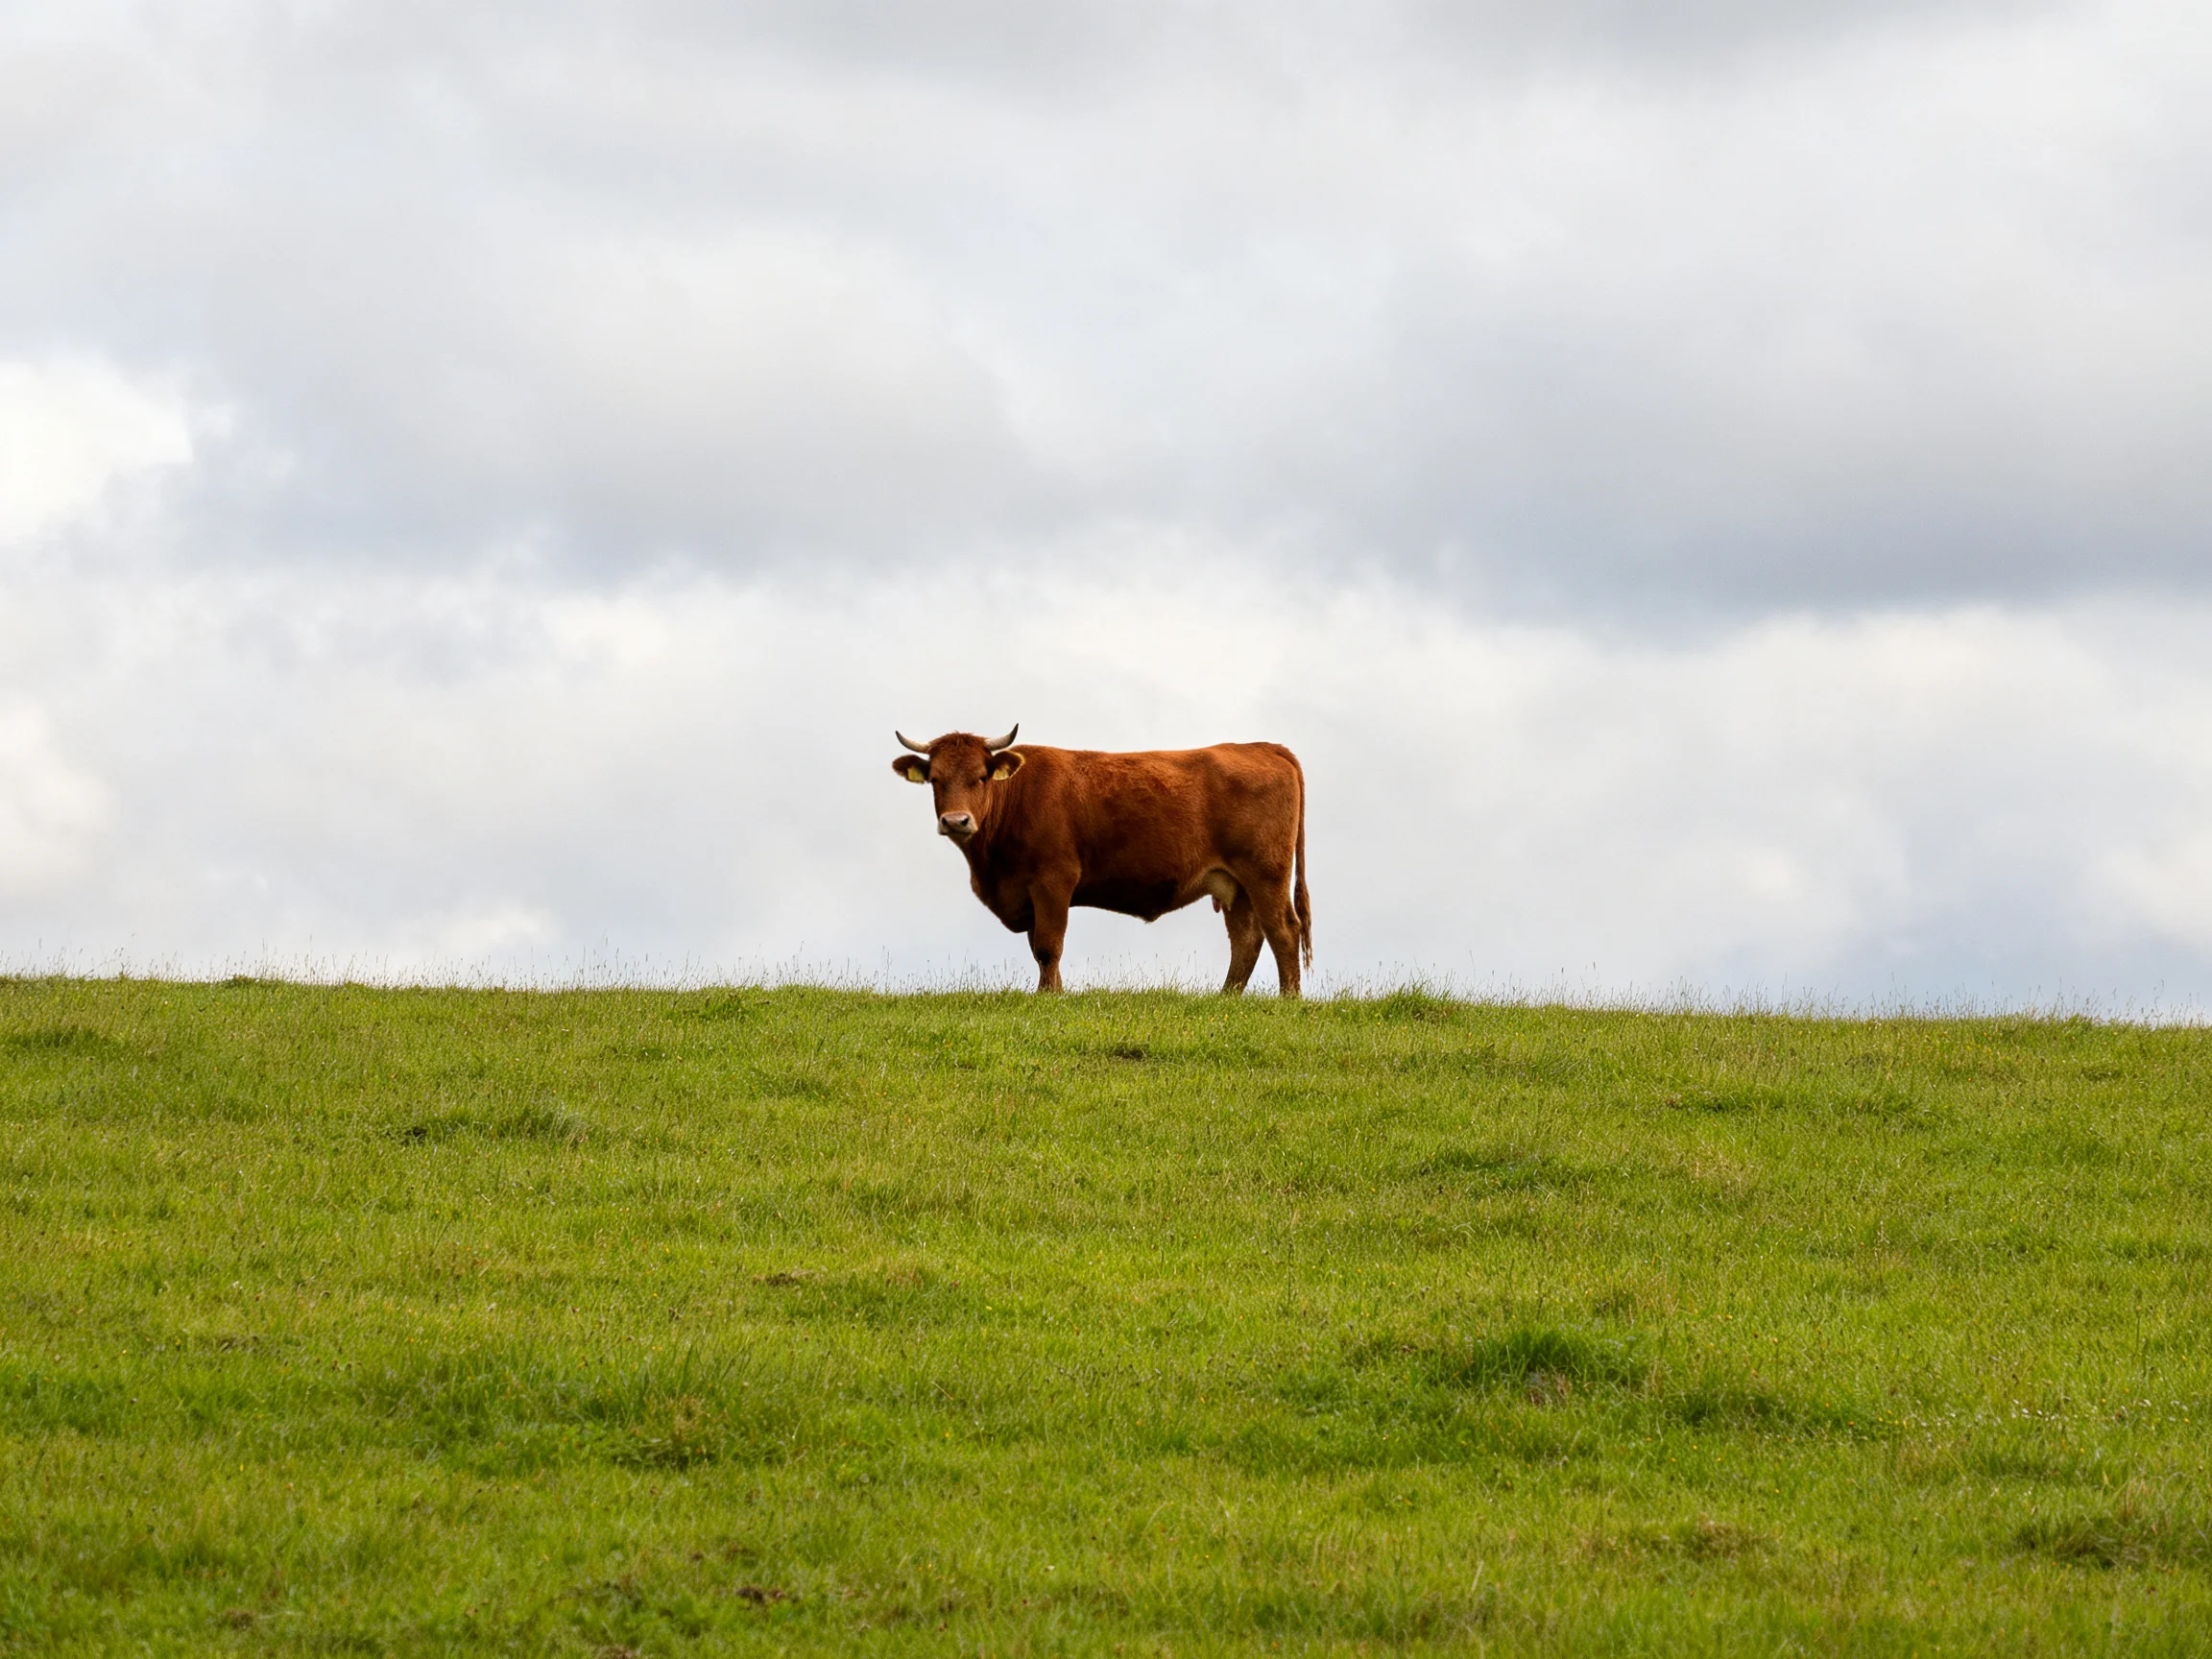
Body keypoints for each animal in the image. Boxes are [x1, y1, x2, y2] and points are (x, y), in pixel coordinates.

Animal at [890, 725, 1312, 996]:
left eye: (980, 777)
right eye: (935, 779)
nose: (956, 821)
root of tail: (1263, 746)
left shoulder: (1053, 881)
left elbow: (1048, 946)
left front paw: (1049, 998)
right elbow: (1038, 949)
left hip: (1266, 874)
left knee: (1283, 930)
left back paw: (1288, 999)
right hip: (1236, 885)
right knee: (1246, 939)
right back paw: (1226, 998)